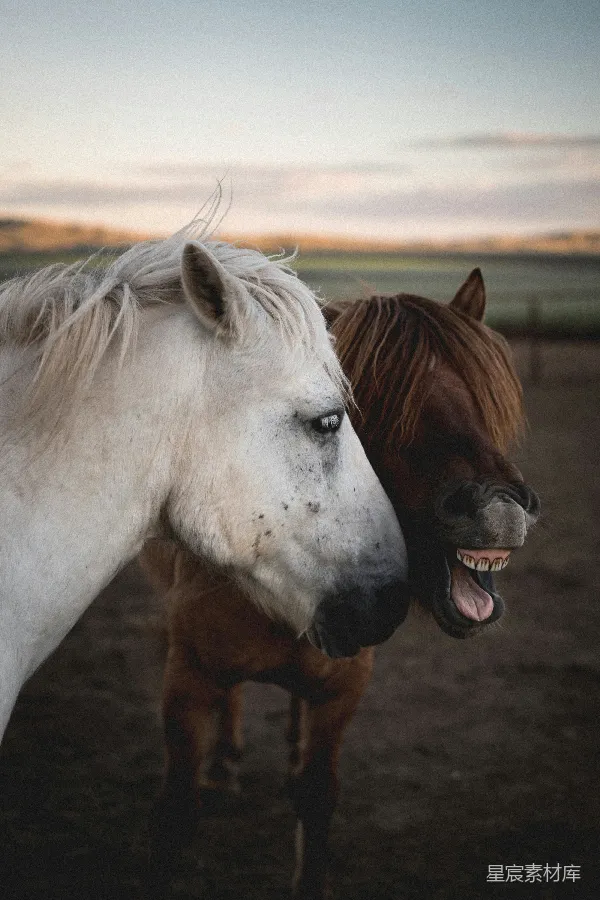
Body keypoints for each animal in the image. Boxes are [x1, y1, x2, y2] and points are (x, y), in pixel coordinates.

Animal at [140, 268, 540, 897]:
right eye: (369, 406)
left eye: (482, 397)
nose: (498, 507)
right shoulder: (188, 679)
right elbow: (176, 811)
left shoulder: (340, 690)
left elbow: (315, 794)